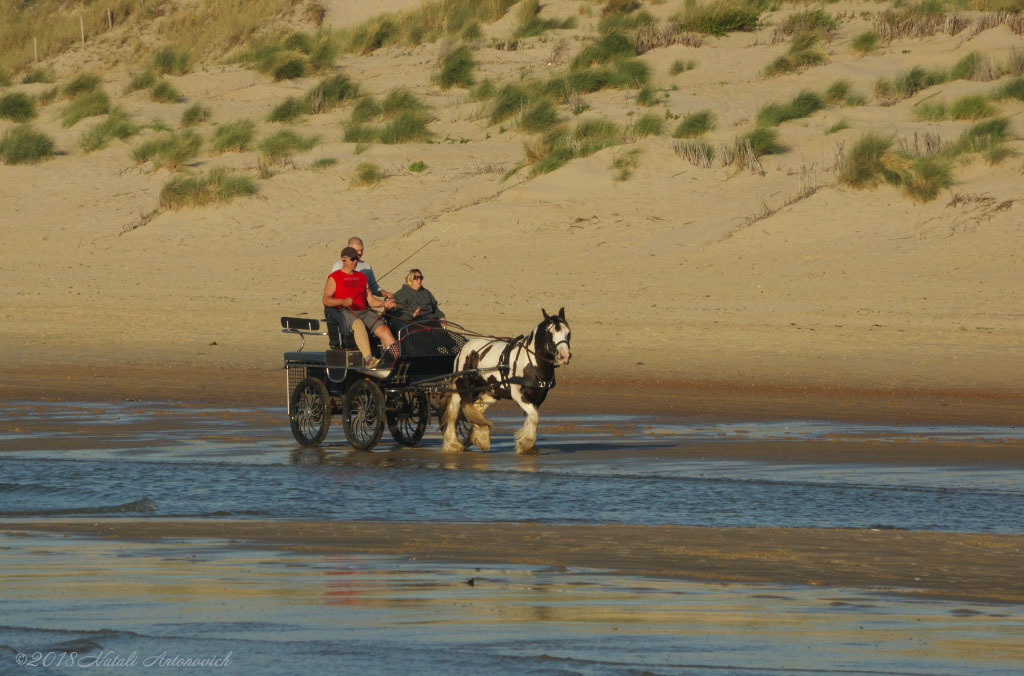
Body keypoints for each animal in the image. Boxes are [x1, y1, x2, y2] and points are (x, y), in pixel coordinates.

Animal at [438, 307, 573, 454]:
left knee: (477, 408)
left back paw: (480, 437)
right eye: (550, 333)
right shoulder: (518, 394)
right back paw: (452, 443)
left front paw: (528, 445)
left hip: (493, 390)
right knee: (453, 413)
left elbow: (532, 417)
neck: (532, 362)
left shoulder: (539, 397)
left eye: (568, 332)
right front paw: (525, 444)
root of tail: (466, 346)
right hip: (460, 386)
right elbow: (534, 417)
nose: (564, 356)